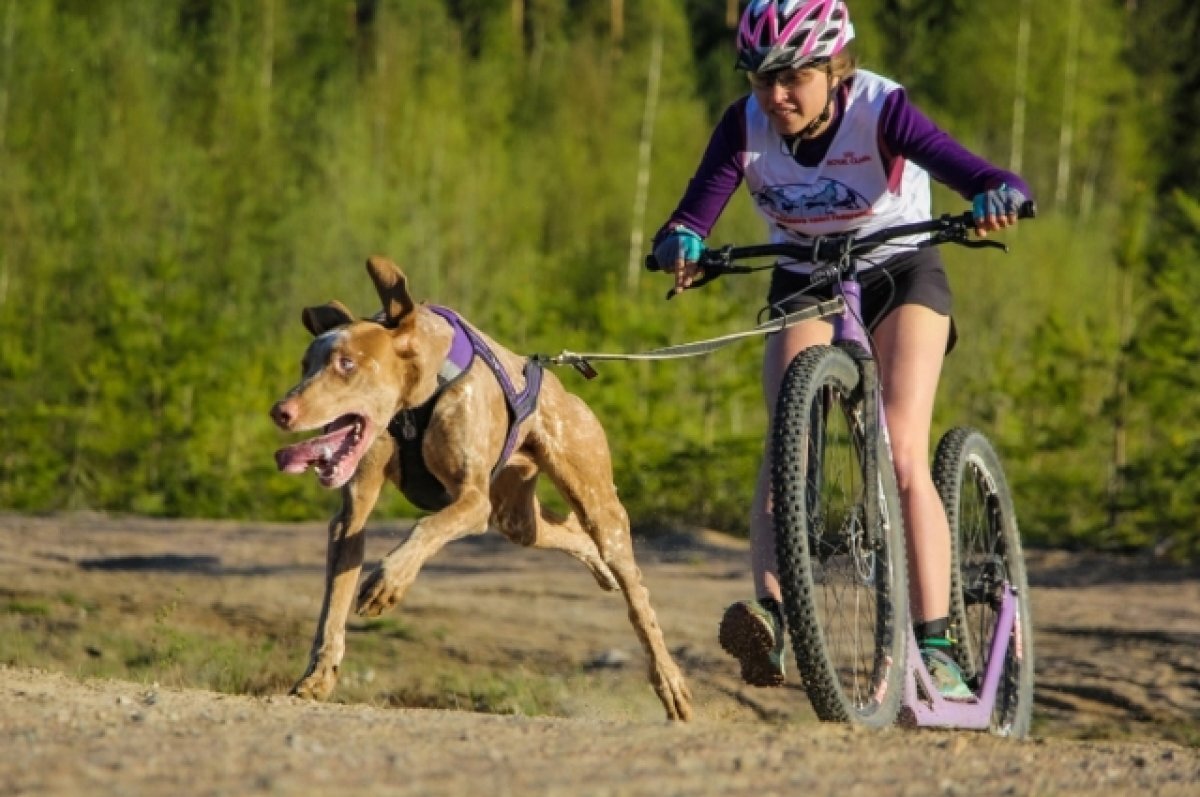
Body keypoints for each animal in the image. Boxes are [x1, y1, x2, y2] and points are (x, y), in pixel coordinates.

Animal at [266, 258, 691, 720]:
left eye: (346, 364)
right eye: (306, 364)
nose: (281, 411)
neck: (416, 398)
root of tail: (567, 392)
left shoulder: (473, 500)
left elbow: (426, 527)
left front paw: (389, 580)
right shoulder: (351, 517)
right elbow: (334, 604)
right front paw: (318, 674)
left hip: (596, 505)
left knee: (638, 598)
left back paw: (669, 680)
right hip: (515, 516)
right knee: (568, 534)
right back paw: (597, 565)